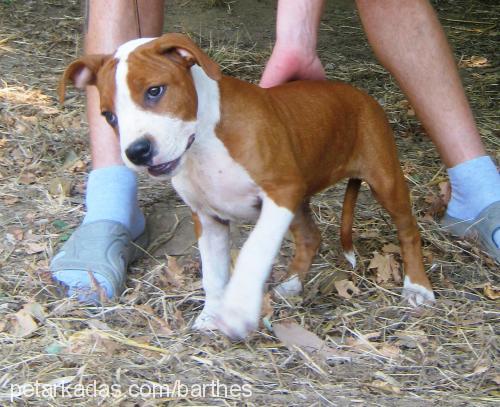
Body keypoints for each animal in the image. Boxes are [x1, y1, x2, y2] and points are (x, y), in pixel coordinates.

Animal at [57, 33, 434, 342]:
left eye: (155, 91)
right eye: (109, 116)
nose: (137, 151)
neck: (203, 141)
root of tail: (361, 95)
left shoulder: (280, 192)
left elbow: (254, 251)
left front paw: (237, 310)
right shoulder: (208, 218)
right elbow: (213, 272)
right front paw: (211, 313)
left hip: (383, 179)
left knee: (409, 230)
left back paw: (417, 287)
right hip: (301, 198)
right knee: (310, 237)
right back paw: (292, 283)